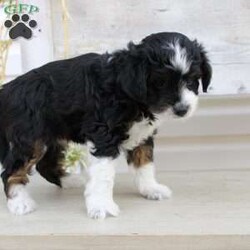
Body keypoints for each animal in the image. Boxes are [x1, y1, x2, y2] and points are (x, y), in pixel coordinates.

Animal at [0, 32, 211, 218]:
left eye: (193, 80)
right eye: (160, 82)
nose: (182, 109)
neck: (128, 91)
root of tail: (8, 89)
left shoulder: (141, 134)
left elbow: (144, 162)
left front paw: (151, 189)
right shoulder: (104, 136)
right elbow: (103, 176)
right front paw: (102, 206)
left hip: (53, 134)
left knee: (46, 164)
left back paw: (69, 180)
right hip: (31, 139)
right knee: (11, 171)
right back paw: (19, 202)